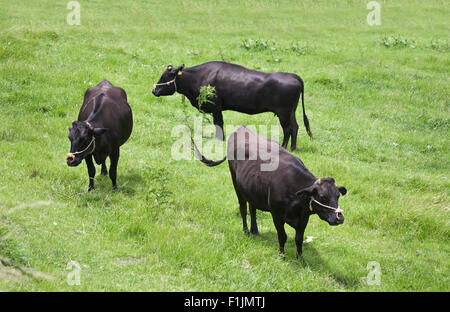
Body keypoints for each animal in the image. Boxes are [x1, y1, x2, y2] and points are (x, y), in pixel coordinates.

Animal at [153, 61, 312, 151]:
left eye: (163, 76)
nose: (154, 90)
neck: (197, 77)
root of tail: (293, 76)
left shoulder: (216, 107)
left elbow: (219, 123)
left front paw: (220, 140)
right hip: (291, 111)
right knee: (295, 127)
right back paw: (293, 148)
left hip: (283, 112)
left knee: (288, 129)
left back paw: (284, 147)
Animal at [194, 125, 348, 260]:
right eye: (322, 196)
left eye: (338, 196)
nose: (339, 218)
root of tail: (242, 128)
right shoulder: (277, 214)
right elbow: (282, 236)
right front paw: (282, 256)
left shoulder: (304, 217)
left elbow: (299, 238)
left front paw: (300, 259)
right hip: (236, 183)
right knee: (243, 208)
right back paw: (246, 231)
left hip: (252, 189)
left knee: (252, 209)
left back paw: (255, 231)